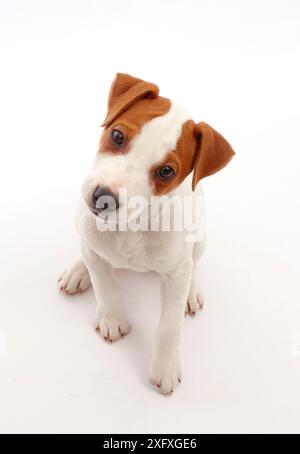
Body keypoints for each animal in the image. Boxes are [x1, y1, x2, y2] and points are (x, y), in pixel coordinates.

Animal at [58, 73, 234, 394]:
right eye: (117, 136)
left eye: (166, 172)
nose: (103, 198)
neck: (131, 226)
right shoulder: (92, 241)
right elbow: (105, 284)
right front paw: (113, 318)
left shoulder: (175, 274)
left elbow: (169, 327)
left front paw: (165, 367)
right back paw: (78, 270)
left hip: (200, 239)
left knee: (195, 263)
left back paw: (192, 292)